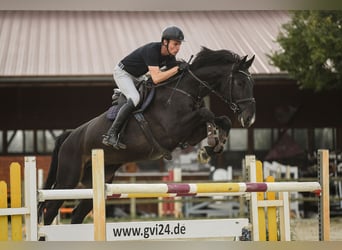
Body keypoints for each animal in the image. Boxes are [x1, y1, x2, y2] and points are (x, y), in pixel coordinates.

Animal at [38, 46, 255, 225]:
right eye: (239, 82)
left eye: (250, 82)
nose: (249, 118)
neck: (184, 91)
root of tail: (70, 135)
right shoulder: (173, 129)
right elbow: (206, 113)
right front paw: (210, 145)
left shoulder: (188, 133)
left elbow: (222, 120)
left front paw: (212, 146)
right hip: (68, 178)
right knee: (49, 210)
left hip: (98, 179)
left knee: (77, 214)